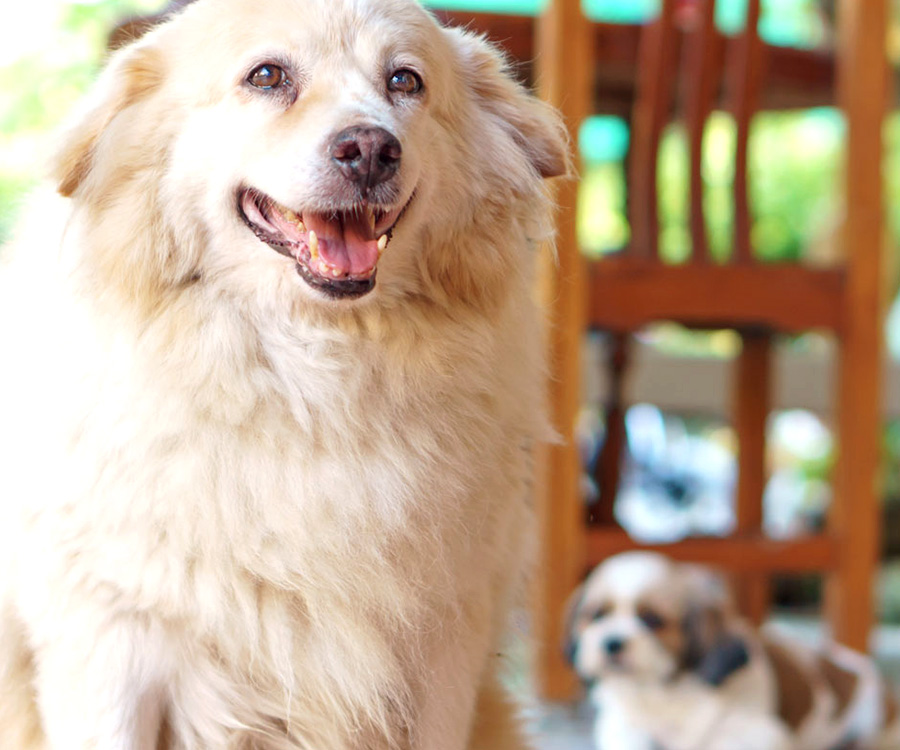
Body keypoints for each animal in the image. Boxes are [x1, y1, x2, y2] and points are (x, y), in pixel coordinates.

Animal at [0, 1, 568, 750]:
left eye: (405, 81)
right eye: (267, 76)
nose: (370, 149)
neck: (310, 386)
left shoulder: (445, 663)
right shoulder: (109, 652)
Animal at [568, 552, 900, 750]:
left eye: (652, 620)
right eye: (596, 616)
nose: (611, 641)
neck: (668, 693)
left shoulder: (758, 734)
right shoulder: (622, 727)